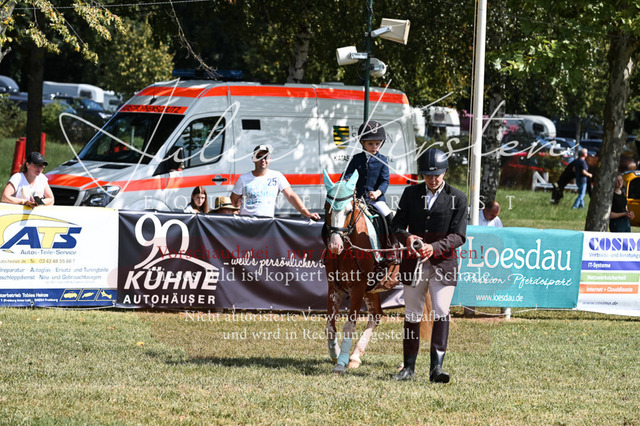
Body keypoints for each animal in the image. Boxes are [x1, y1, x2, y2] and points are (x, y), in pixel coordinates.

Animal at [322, 169, 401, 374]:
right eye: (327, 208)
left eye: (349, 211)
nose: (335, 245)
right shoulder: (334, 287)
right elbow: (330, 326)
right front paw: (335, 354)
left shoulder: (357, 289)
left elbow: (349, 326)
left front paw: (340, 363)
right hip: (371, 289)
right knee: (376, 315)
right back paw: (356, 357)